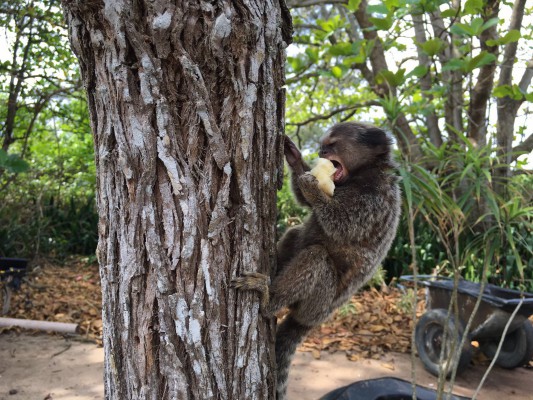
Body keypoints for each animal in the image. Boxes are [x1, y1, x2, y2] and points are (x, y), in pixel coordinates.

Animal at [232, 122, 400, 400]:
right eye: (322, 146)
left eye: (331, 145)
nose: (321, 151)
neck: (363, 174)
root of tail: (313, 320)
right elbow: (305, 203)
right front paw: (293, 156)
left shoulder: (375, 200)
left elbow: (343, 225)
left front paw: (313, 188)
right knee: (295, 233)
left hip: (317, 302)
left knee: (317, 257)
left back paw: (268, 297)